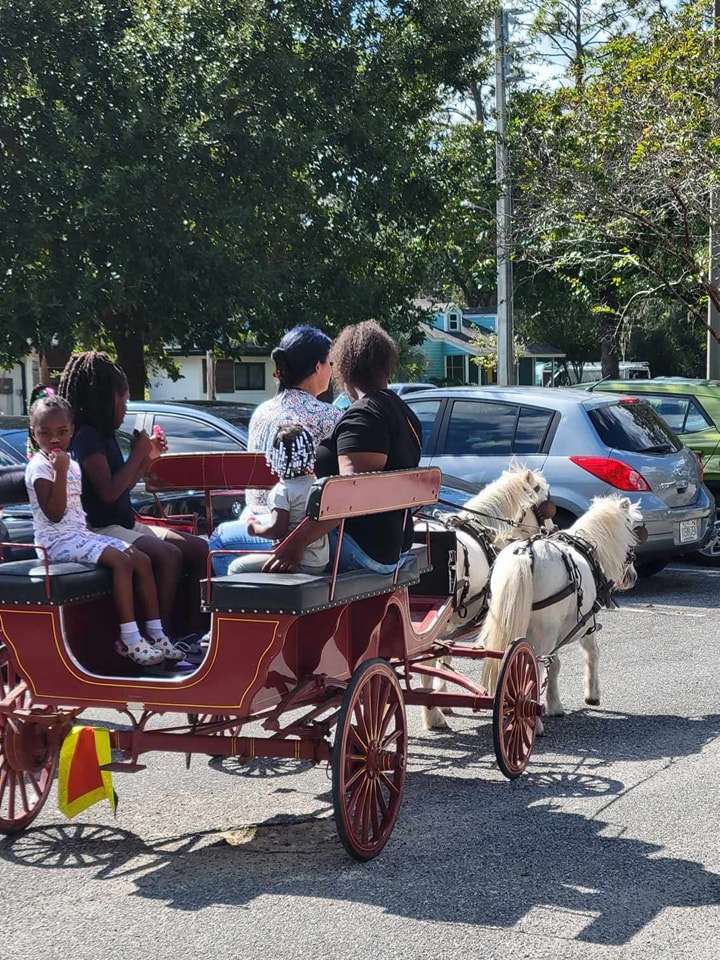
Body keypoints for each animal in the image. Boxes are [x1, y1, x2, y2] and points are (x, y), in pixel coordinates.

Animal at [420, 464, 556, 728]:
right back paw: (432, 716)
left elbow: (444, 657)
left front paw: (443, 699)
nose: (554, 529)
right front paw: (438, 706)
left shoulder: (445, 626)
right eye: (546, 502)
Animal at [478, 498, 640, 732]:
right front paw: (592, 694)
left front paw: (554, 704)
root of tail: (524, 554)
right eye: (632, 530)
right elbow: (592, 653)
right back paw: (532, 721)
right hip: (545, 634)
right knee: (533, 668)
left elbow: (554, 666)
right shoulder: (587, 624)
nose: (633, 577)